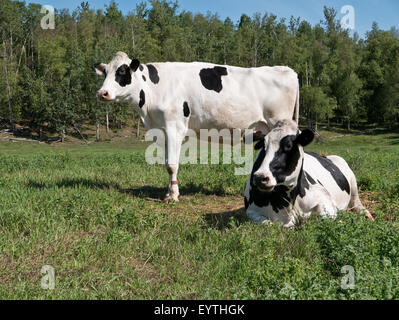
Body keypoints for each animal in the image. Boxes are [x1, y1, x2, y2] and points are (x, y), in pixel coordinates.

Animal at [94, 51, 300, 201]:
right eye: (106, 72)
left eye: (122, 72)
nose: (102, 93)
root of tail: (288, 70)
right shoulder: (163, 130)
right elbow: (167, 162)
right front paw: (168, 192)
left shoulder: (174, 126)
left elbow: (171, 164)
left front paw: (174, 196)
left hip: (279, 122)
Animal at [244, 120, 376, 228]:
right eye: (263, 146)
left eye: (288, 146)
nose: (260, 177)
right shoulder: (250, 211)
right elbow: (268, 224)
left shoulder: (324, 198)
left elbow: (325, 218)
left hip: (352, 182)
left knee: (357, 203)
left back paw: (367, 215)